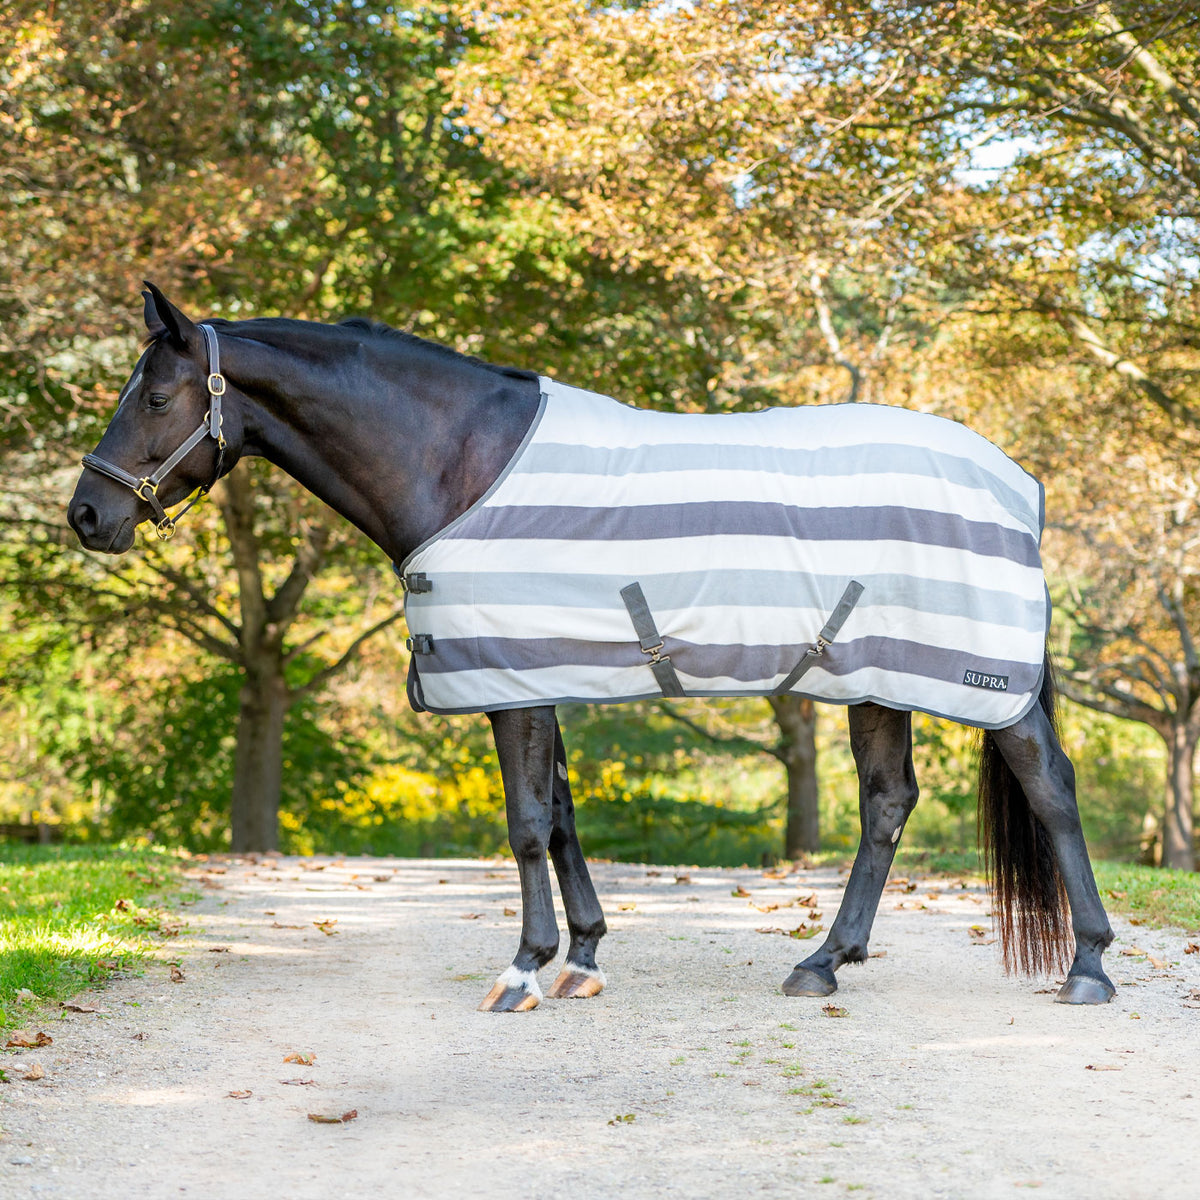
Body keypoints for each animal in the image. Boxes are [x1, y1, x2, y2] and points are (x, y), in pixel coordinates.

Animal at [68, 284, 1116, 1011]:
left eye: (155, 396)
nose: (87, 515)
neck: (460, 462)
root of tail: (1018, 482)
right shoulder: (536, 669)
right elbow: (565, 816)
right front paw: (583, 957)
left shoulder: (509, 681)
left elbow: (528, 823)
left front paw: (523, 971)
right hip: (872, 678)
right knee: (888, 805)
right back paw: (822, 963)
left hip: (986, 685)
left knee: (1050, 789)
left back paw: (1090, 968)